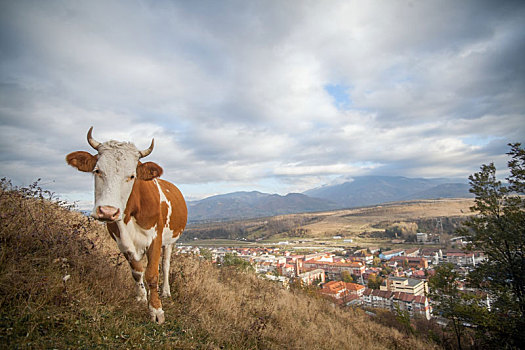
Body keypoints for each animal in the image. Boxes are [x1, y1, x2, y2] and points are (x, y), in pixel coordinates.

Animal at [66, 127, 186, 324]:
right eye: (97, 170)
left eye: (132, 176)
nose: (107, 211)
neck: (130, 213)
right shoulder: (121, 241)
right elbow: (137, 271)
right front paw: (141, 297)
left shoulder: (155, 239)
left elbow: (152, 274)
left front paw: (156, 310)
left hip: (170, 241)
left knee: (166, 265)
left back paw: (166, 292)